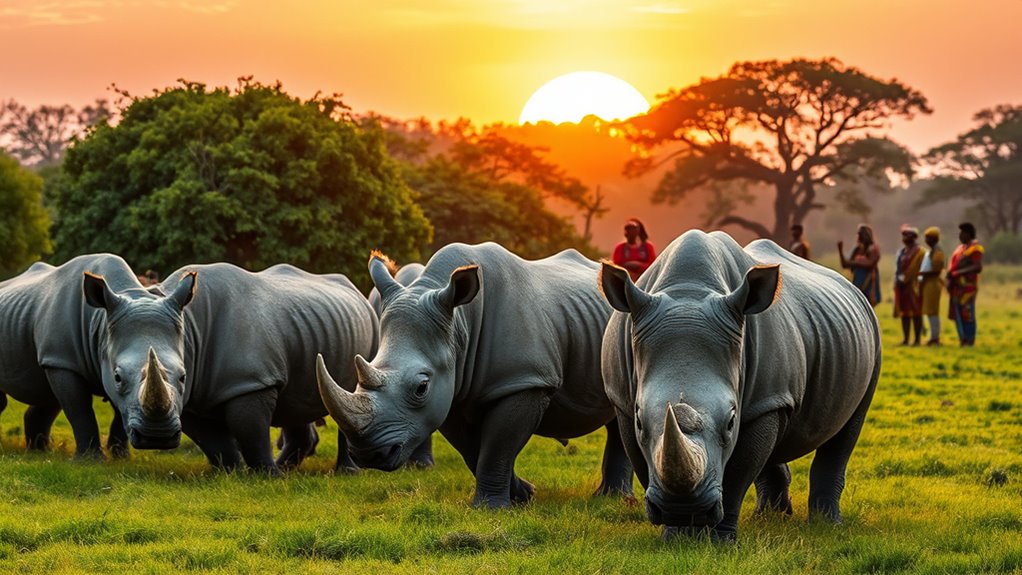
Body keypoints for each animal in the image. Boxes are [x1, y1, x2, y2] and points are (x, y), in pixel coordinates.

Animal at [0, 254, 195, 457]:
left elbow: (120, 410)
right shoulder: (62, 360)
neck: (101, 320)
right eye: (117, 376)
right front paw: (90, 459)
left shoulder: (71, 357)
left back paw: (40, 451)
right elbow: (79, 409)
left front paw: (121, 457)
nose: (157, 437)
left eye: (183, 376)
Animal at [158, 263, 377, 475]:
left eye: (181, 376)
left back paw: (346, 472)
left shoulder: (251, 380)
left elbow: (250, 430)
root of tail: (357, 291)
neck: (191, 324)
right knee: (295, 401)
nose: (155, 435)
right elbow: (212, 440)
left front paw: (268, 476)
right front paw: (229, 473)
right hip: (306, 328)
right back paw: (286, 468)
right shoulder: (193, 395)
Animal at [316, 243, 633, 508]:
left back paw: (611, 499)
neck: (458, 323)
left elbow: (497, 446)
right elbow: (472, 448)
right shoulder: (451, 388)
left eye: (421, 387)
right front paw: (524, 494)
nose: (369, 455)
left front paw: (491, 508)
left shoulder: (523, 381)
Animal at [600, 231, 881, 541]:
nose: (685, 509)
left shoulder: (765, 400)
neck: (689, 291)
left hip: (871, 336)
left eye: (731, 421)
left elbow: (737, 473)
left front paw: (719, 540)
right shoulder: (623, 400)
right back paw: (769, 517)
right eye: (639, 420)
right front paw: (678, 535)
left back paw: (826, 525)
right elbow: (642, 459)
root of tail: (854, 290)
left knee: (846, 431)